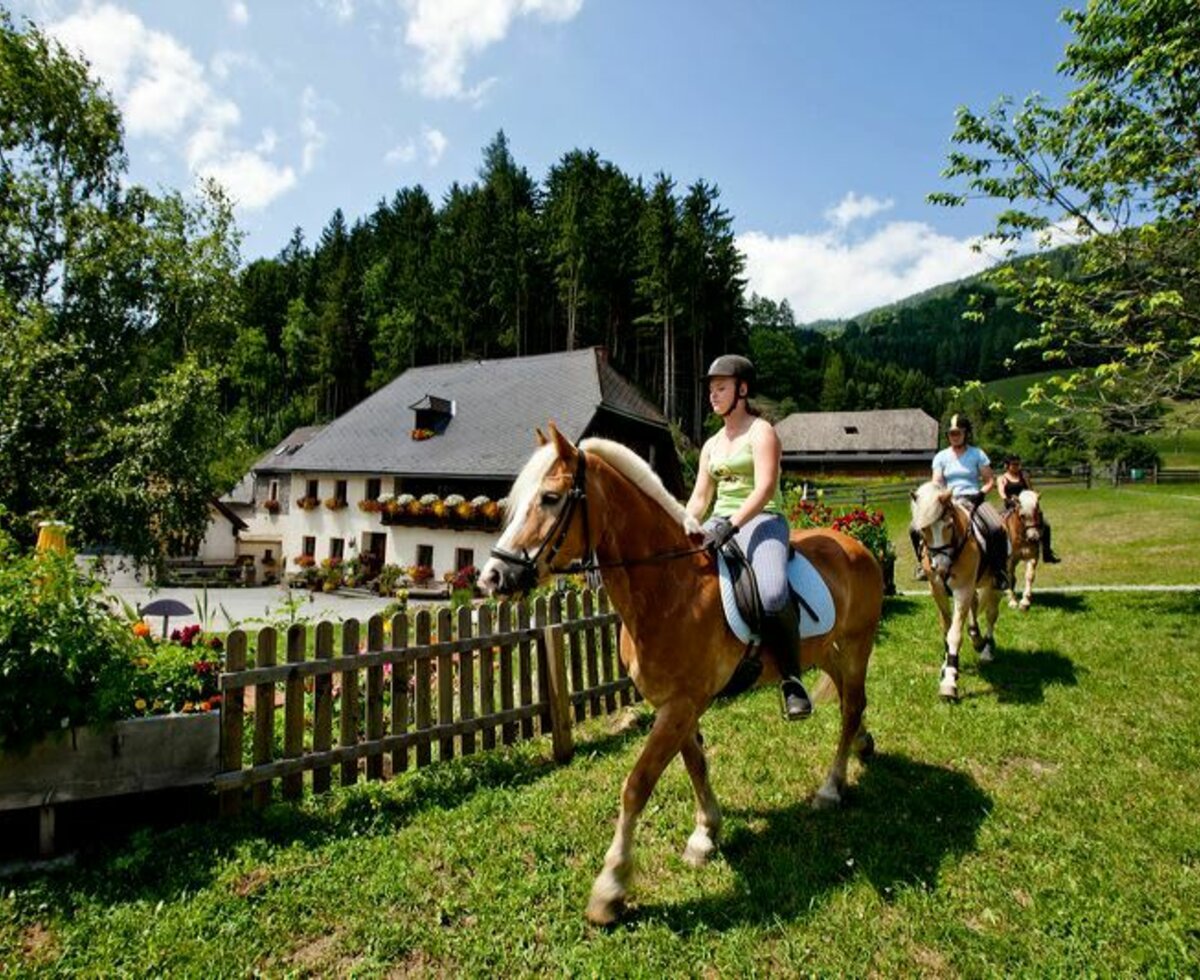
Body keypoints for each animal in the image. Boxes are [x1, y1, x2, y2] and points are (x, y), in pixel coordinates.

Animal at [477, 427, 883, 926]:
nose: (492, 577)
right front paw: (706, 834)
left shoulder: (681, 705)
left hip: (858, 645)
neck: (670, 586)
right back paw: (861, 745)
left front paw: (610, 889)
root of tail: (856, 545)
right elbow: (695, 764)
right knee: (850, 702)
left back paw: (830, 786)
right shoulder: (676, 705)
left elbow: (637, 785)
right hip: (826, 650)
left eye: (550, 498)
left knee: (851, 707)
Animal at [907, 479, 1003, 695]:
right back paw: (976, 637)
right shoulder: (938, 590)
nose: (941, 567)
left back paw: (986, 649)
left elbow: (954, 634)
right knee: (975, 606)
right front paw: (946, 666)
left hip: (995, 585)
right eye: (923, 530)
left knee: (991, 615)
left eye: (949, 525)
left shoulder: (963, 589)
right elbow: (947, 628)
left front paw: (949, 680)